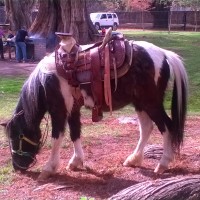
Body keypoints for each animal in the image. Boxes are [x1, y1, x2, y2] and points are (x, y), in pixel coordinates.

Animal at [1, 31, 188, 180]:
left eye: (17, 137)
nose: (17, 167)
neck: (46, 80)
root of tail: (164, 54)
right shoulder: (73, 109)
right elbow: (75, 133)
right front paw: (75, 162)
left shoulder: (58, 110)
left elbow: (57, 137)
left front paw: (49, 168)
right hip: (140, 103)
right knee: (146, 128)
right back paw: (133, 159)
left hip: (151, 103)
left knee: (167, 127)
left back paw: (163, 164)